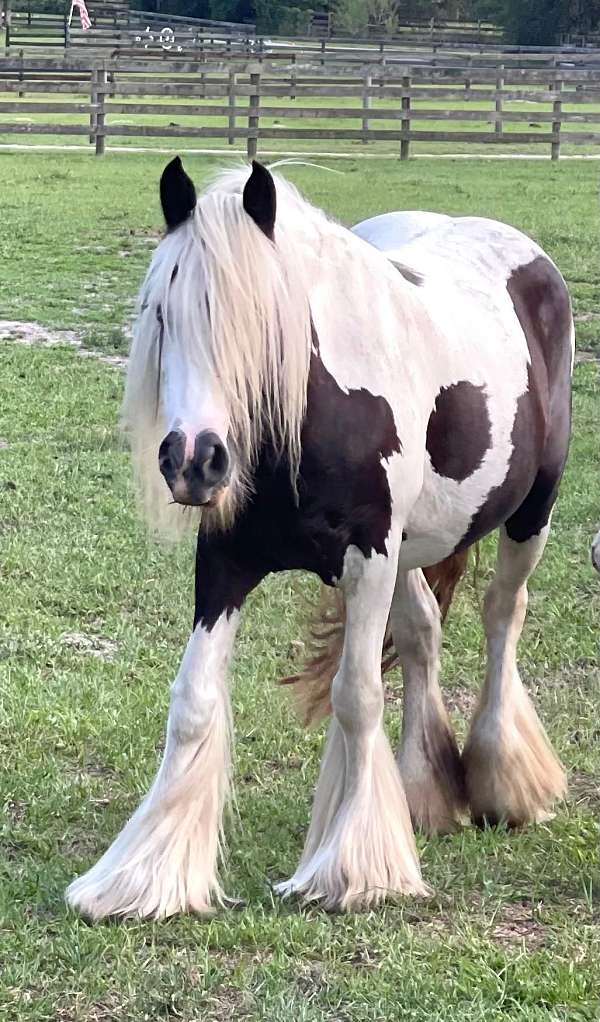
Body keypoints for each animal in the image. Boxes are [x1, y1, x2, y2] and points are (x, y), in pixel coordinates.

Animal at [64, 157, 572, 919]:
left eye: (261, 320)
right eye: (162, 314)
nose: (192, 461)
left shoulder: (368, 558)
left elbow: (356, 695)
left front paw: (354, 870)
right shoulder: (226, 561)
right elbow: (193, 703)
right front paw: (141, 876)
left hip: (530, 513)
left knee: (502, 614)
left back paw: (506, 783)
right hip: (413, 548)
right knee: (422, 631)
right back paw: (423, 794)